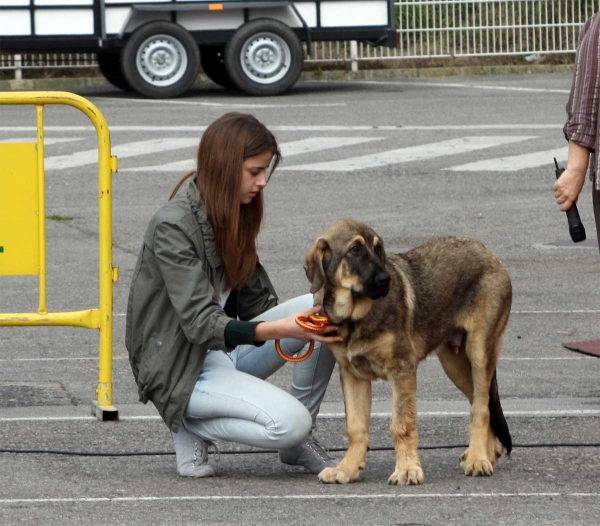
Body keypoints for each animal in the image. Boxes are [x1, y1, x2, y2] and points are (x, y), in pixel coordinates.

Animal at [308, 219, 512, 486]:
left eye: (378, 248)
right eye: (355, 249)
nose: (385, 279)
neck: (355, 317)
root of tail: (490, 255)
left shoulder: (402, 368)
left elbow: (401, 424)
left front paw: (406, 470)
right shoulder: (352, 374)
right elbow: (355, 427)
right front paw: (346, 469)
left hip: (480, 350)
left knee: (481, 407)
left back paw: (478, 459)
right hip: (454, 362)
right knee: (482, 400)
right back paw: (487, 453)